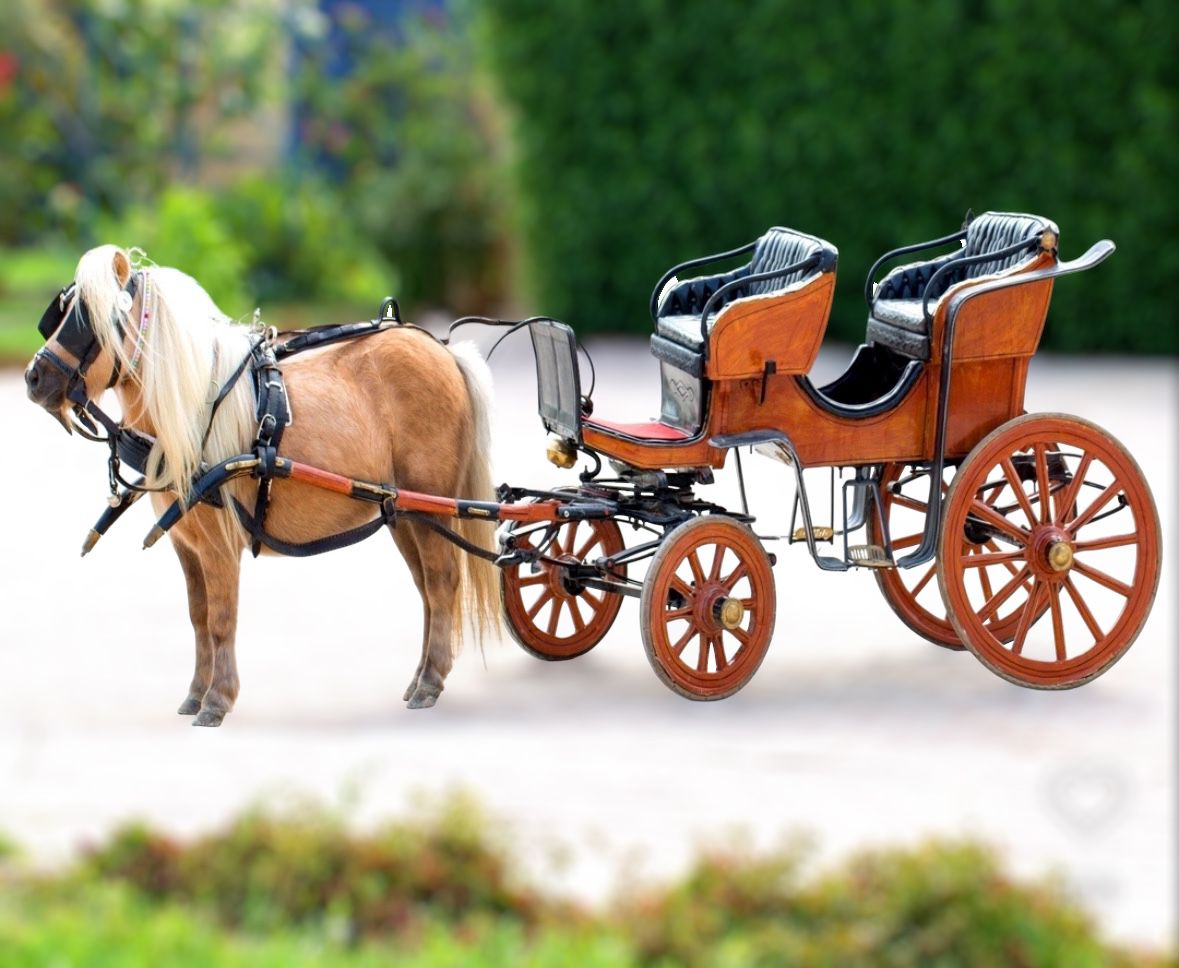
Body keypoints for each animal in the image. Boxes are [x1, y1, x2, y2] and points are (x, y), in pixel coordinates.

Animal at [24, 245, 499, 725]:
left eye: (86, 317)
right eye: (61, 313)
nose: (33, 378)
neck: (195, 411)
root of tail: (443, 350)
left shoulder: (219, 544)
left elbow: (220, 619)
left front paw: (217, 700)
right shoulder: (187, 544)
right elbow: (198, 616)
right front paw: (196, 694)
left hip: (429, 508)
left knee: (441, 583)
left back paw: (430, 681)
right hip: (404, 513)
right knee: (427, 590)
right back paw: (420, 677)